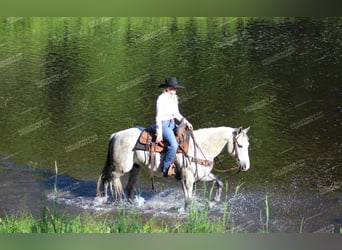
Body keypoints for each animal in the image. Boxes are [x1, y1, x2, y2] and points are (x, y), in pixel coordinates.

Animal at [96, 127, 251, 207]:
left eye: (248, 144)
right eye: (240, 145)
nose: (245, 166)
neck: (200, 146)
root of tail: (115, 135)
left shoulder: (201, 175)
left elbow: (219, 182)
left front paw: (213, 202)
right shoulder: (188, 179)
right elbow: (188, 199)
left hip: (135, 168)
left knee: (129, 187)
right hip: (119, 169)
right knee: (105, 180)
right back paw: (103, 201)